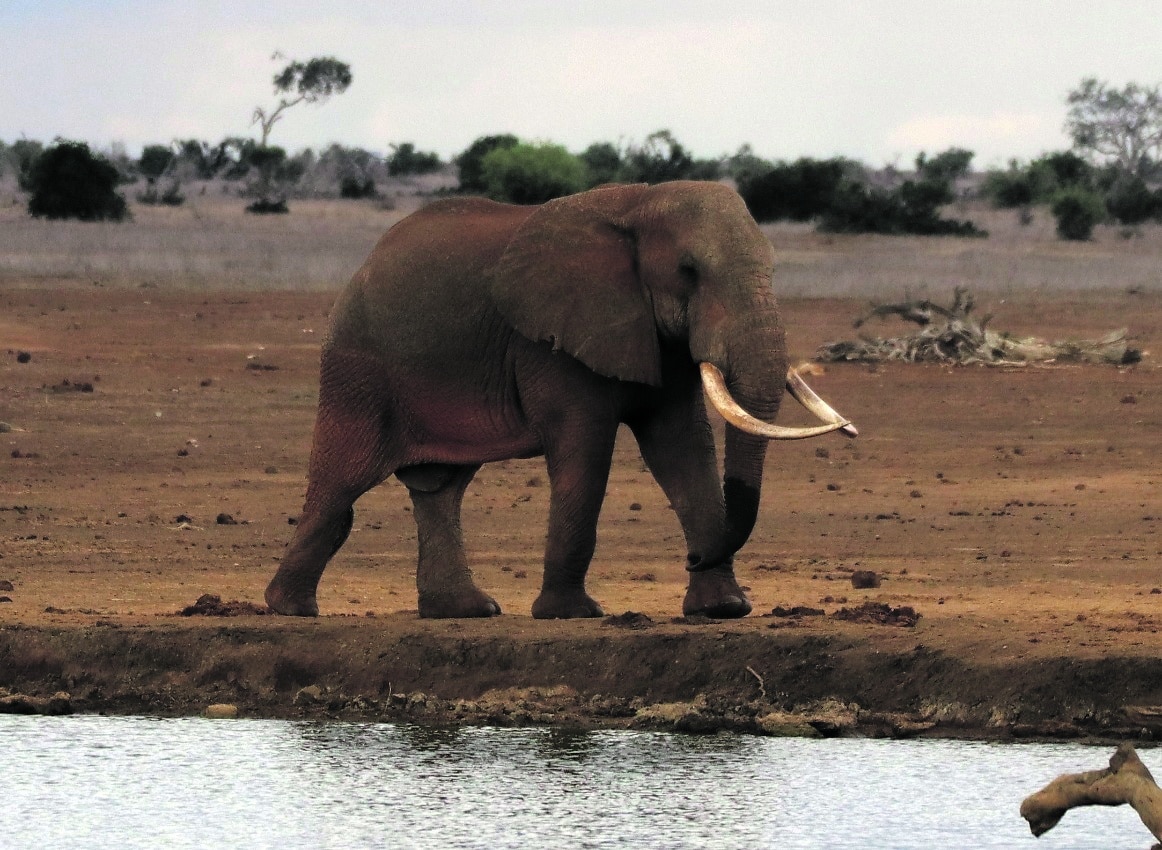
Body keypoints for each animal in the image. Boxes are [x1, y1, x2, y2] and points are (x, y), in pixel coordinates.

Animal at [265, 180, 855, 620]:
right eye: (688, 272)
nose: (691, 557)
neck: (639, 202)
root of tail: (365, 263)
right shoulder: (552, 341)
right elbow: (585, 451)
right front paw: (571, 614)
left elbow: (683, 448)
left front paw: (723, 609)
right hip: (359, 369)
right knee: (343, 482)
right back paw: (290, 609)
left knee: (441, 488)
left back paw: (466, 611)